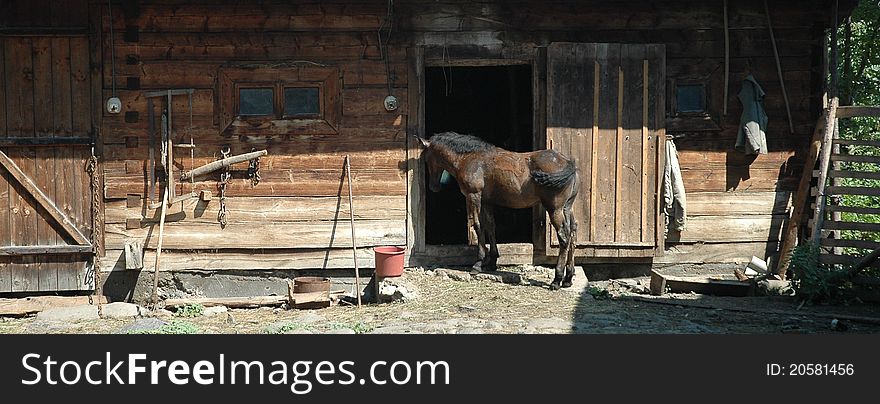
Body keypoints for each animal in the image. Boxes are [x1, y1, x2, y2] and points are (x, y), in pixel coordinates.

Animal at [416, 131, 580, 288]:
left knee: (564, 238)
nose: (433, 187)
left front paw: (478, 264)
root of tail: (568, 163)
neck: (470, 159)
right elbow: (490, 227)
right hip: (567, 208)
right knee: (572, 233)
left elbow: (477, 225)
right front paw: (492, 262)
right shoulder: (487, 202)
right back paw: (568, 278)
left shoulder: (474, 196)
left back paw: (557, 280)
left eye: (427, 159)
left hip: (554, 209)